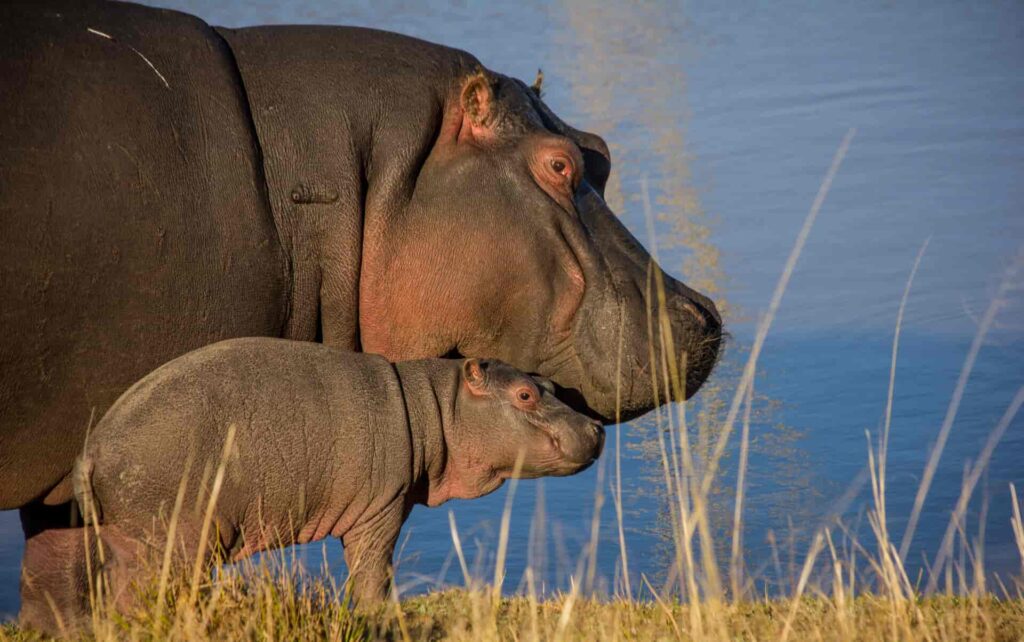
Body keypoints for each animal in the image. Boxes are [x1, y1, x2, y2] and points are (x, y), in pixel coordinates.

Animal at [19, 339, 602, 634]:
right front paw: (382, 616)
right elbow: (373, 569)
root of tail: (91, 453)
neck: (437, 407)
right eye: (525, 394)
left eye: (547, 384)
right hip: (175, 539)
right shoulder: (383, 507)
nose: (596, 428)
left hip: (125, 537)